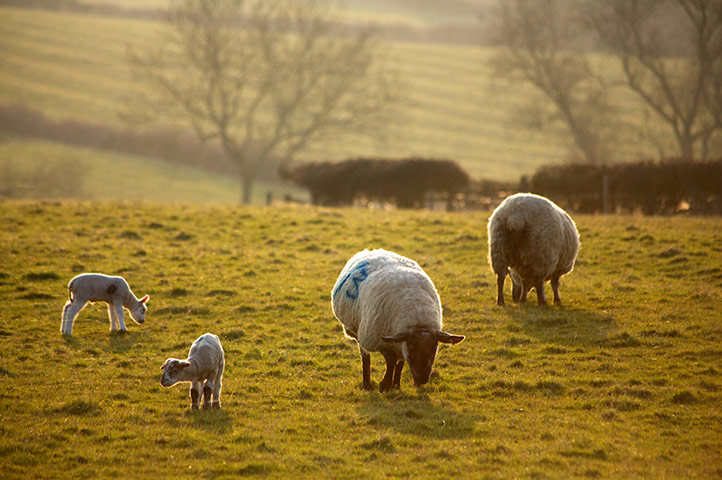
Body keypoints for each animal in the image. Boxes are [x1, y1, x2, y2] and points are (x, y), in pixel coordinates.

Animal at [331, 249, 464, 393]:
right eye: (412, 346)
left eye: (435, 347)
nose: (422, 380)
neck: (418, 322)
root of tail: (373, 250)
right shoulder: (382, 340)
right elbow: (391, 361)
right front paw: (385, 385)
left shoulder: (400, 342)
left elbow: (400, 363)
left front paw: (396, 385)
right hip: (359, 330)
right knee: (365, 357)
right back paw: (367, 384)